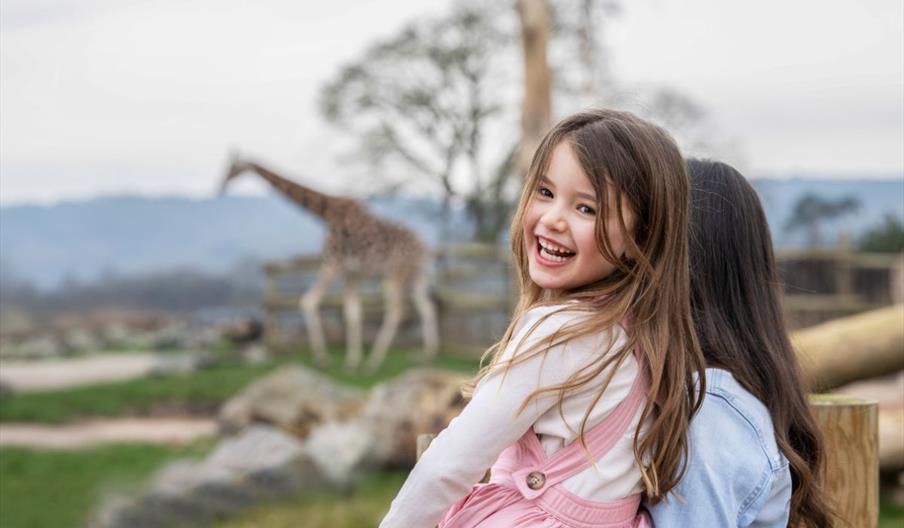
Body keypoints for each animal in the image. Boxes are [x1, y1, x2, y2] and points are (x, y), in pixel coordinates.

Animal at [222, 155, 442, 372]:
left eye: (233, 165)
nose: (223, 182)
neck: (326, 214)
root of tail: (426, 250)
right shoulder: (351, 274)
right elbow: (352, 313)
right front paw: (352, 361)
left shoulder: (332, 263)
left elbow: (308, 301)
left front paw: (323, 358)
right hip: (416, 275)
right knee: (427, 308)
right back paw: (427, 355)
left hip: (395, 273)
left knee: (397, 312)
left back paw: (374, 361)